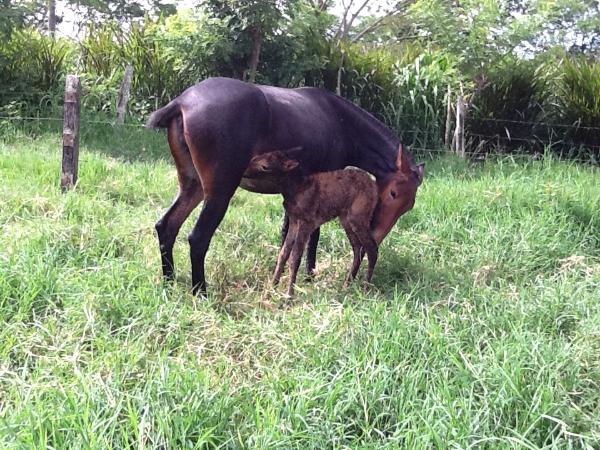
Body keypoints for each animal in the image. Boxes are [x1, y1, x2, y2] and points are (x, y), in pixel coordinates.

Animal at [148, 77, 424, 296]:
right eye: (393, 193)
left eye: (408, 207)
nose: (376, 234)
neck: (342, 123)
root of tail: (182, 101)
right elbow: (313, 236)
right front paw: (309, 274)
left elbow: (286, 237)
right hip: (219, 193)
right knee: (198, 238)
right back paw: (201, 292)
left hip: (192, 186)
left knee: (167, 226)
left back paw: (169, 281)